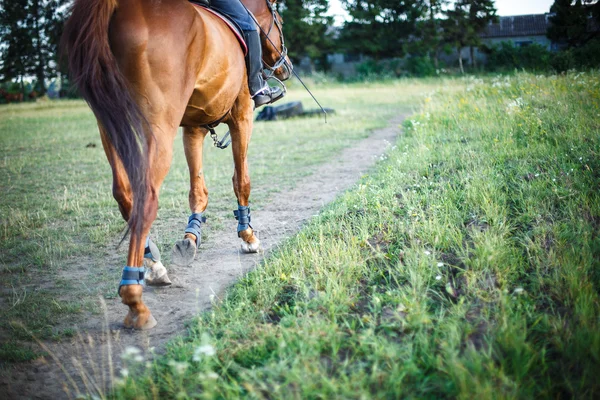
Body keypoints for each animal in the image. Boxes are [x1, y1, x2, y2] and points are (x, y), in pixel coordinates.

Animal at [62, 0, 292, 328]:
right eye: (280, 22)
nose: (285, 68)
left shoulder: (193, 127)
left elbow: (198, 190)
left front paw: (191, 237)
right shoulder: (242, 115)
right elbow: (241, 181)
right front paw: (248, 236)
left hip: (110, 126)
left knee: (124, 194)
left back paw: (154, 266)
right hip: (158, 128)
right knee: (145, 199)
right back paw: (135, 300)